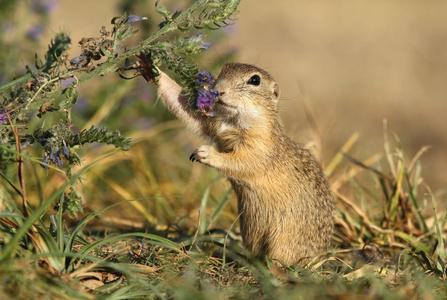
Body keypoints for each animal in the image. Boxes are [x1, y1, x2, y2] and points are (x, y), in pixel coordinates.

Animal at [147, 62, 332, 264]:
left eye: (255, 80)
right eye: (223, 70)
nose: (218, 90)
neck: (235, 121)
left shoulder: (259, 148)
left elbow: (243, 162)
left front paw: (205, 153)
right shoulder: (214, 124)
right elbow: (186, 109)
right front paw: (151, 69)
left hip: (283, 240)